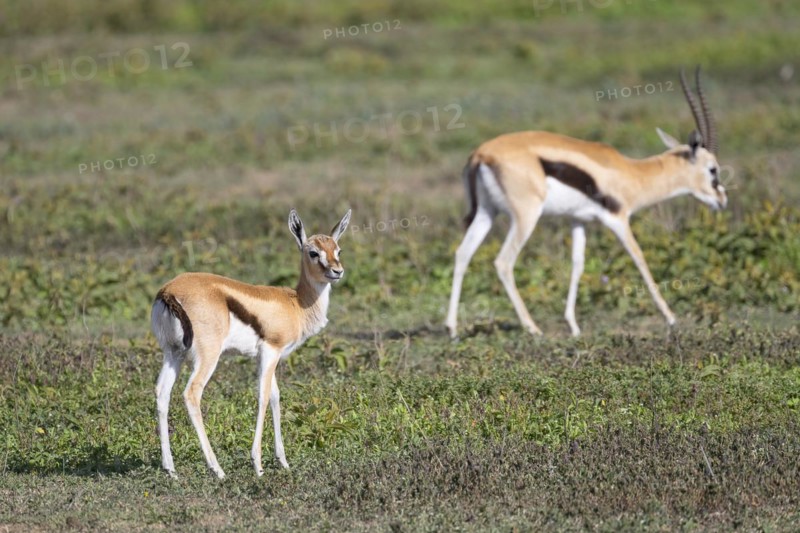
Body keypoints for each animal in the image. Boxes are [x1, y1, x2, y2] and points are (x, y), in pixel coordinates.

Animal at [151, 208, 351, 478]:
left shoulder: (268, 357)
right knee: (191, 393)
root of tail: (168, 291)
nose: (337, 271)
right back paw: (217, 470)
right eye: (313, 252)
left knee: (162, 392)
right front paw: (258, 464)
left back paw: (170, 470)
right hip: (207, 356)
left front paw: (283, 461)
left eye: (337, 250)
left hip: (174, 353)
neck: (296, 304)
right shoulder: (270, 352)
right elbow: (263, 397)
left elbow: (276, 397)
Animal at [446, 67, 724, 338]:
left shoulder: (578, 220)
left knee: (463, 253)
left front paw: (573, 326)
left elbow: (577, 264)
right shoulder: (618, 219)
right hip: (526, 216)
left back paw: (452, 329)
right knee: (503, 262)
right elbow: (639, 257)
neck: (632, 174)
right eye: (712, 169)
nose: (722, 201)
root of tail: (481, 154)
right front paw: (671, 318)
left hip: (487, 212)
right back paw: (533, 328)